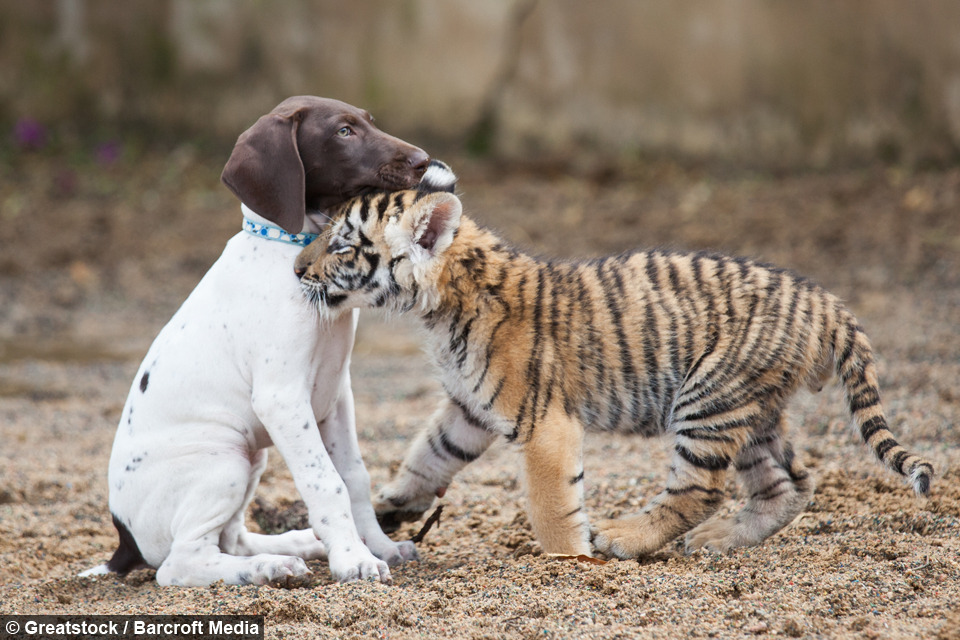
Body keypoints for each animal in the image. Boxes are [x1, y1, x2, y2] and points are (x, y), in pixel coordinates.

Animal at [79, 96, 428, 584]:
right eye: (343, 132)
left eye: (369, 121)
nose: (423, 160)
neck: (293, 251)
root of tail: (124, 540)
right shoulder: (282, 399)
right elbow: (327, 482)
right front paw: (353, 559)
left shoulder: (336, 394)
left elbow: (355, 477)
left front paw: (378, 546)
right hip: (224, 460)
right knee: (181, 564)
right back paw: (267, 567)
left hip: (251, 457)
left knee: (232, 538)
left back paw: (292, 547)